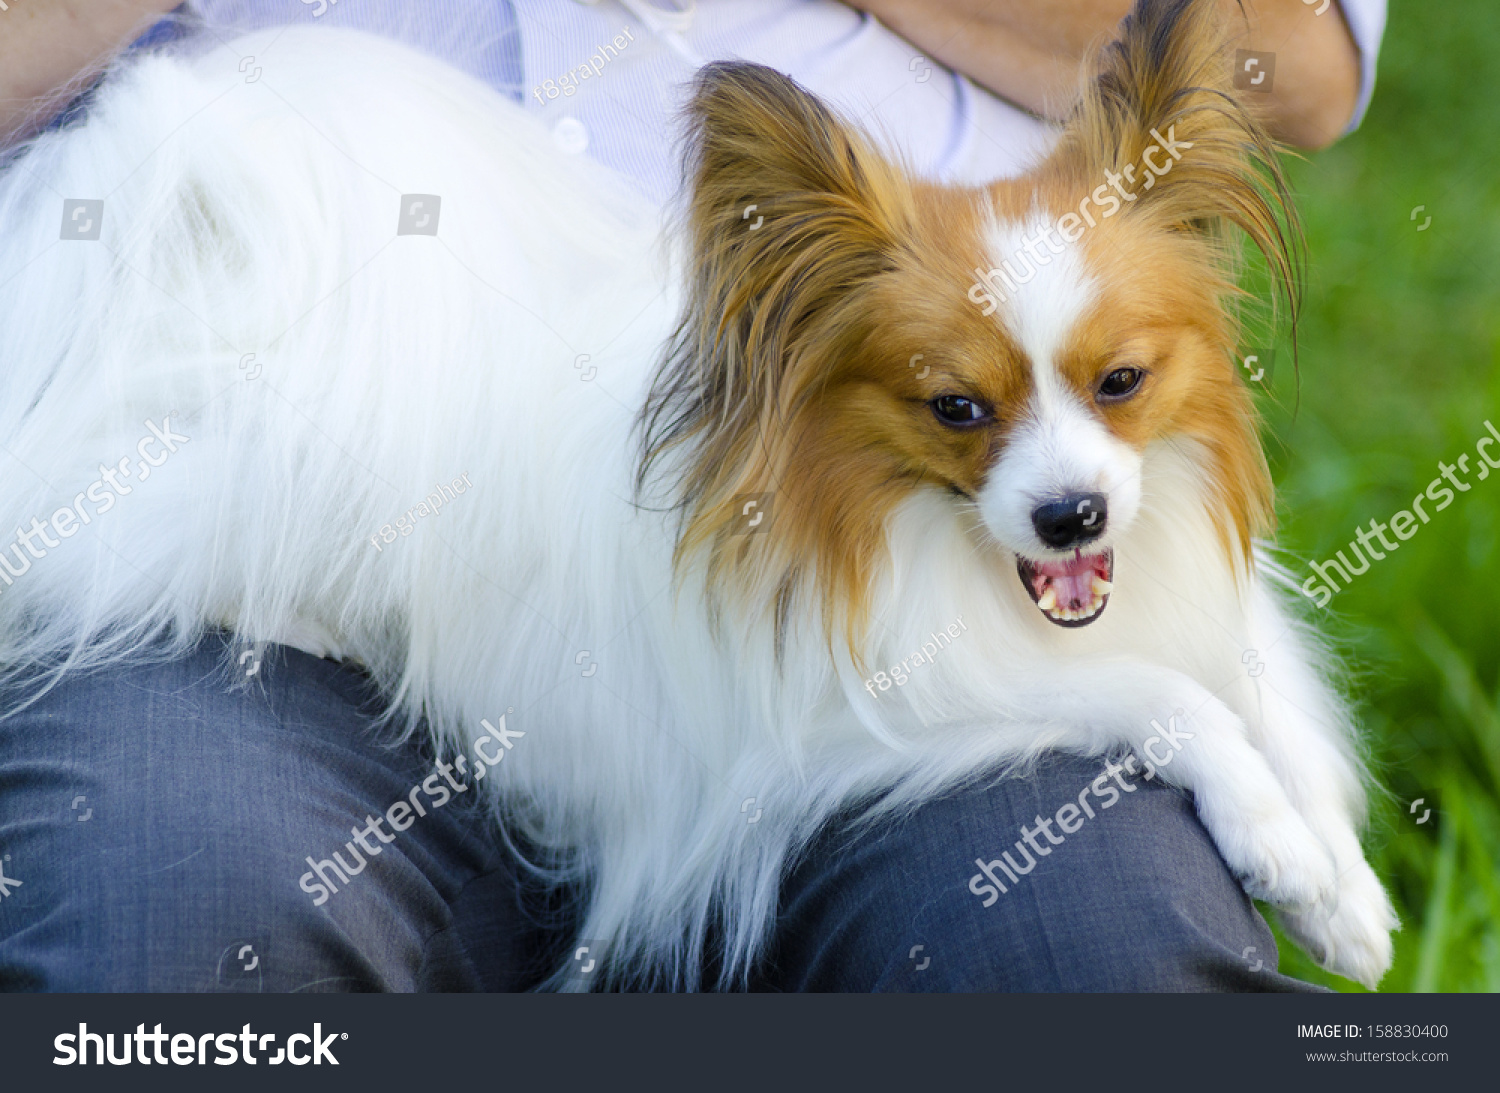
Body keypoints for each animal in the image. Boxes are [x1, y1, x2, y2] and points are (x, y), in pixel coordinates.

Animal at [0, 0, 1398, 989]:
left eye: (1121, 382)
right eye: (955, 408)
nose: (1074, 518)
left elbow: (1258, 690)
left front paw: (1341, 884)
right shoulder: (849, 723)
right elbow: (1160, 696)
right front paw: (1276, 837)